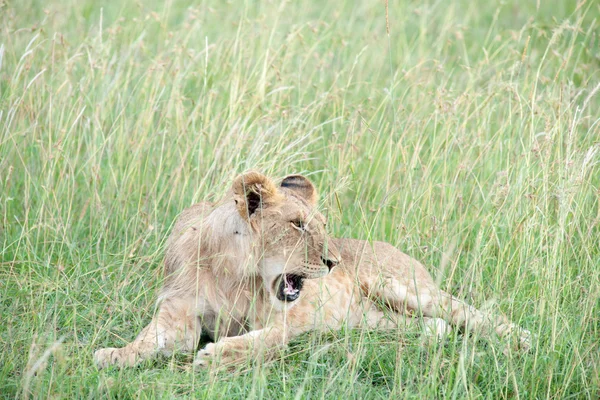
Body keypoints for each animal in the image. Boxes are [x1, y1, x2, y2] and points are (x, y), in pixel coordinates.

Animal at [94, 172, 528, 368]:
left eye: (320, 225)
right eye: (298, 225)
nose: (333, 262)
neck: (235, 274)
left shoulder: (281, 323)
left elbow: (264, 342)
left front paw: (217, 356)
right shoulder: (179, 313)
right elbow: (150, 341)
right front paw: (114, 355)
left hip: (400, 286)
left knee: (469, 313)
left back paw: (522, 340)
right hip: (380, 319)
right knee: (434, 327)